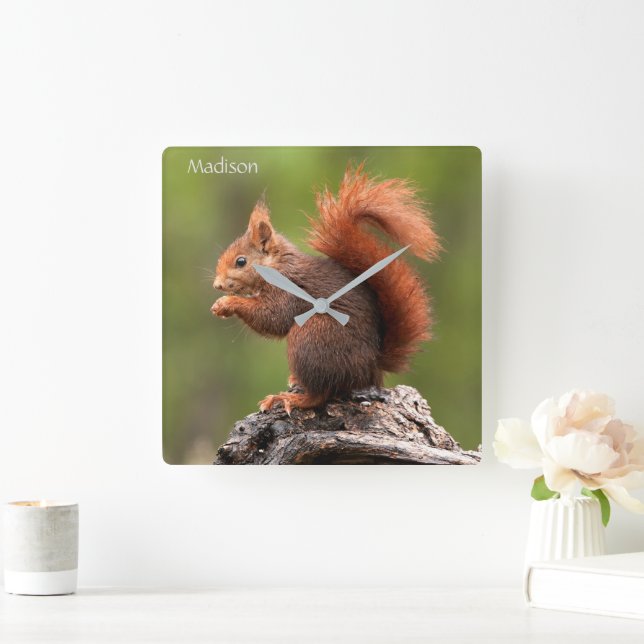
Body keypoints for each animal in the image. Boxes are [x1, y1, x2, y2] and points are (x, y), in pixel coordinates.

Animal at [211, 164, 441, 413]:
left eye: (241, 262)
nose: (217, 285)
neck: (277, 266)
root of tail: (371, 367)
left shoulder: (289, 292)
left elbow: (273, 318)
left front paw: (227, 303)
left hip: (312, 337)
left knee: (320, 394)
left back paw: (291, 399)